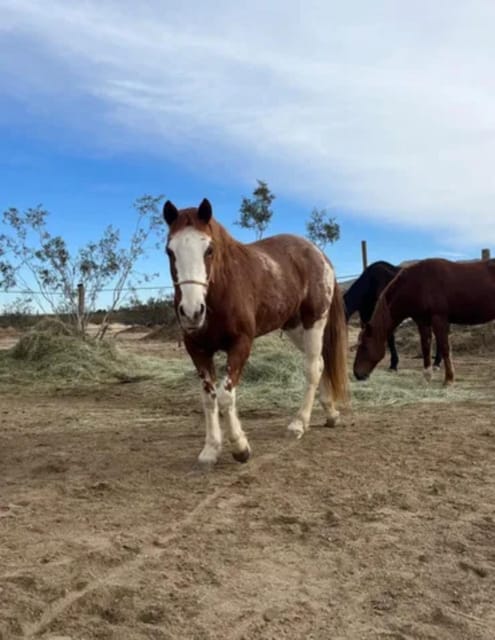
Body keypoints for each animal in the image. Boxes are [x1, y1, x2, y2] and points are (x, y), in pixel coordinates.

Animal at [163, 198, 348, 468]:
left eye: (209, 249)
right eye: (170, 251)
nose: (191, 312)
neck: (222, 289)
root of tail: (318, 253)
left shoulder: (240, 345)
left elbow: (226, 396)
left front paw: (240, 447)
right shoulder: (197, 349)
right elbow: (209, 398)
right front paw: (211, 449)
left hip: (314, 322)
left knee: (312, 368)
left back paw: (299, 423)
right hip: (295, 328)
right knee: (322, 363)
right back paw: (331, 413)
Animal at [354, 256, 495, 384]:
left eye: (364, 346)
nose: (357, 374)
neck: (419, 283)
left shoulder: (439, 319)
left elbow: (445, 347)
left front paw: (448, 379)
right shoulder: (422, 321)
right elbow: (426, 346)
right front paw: (427, 376)